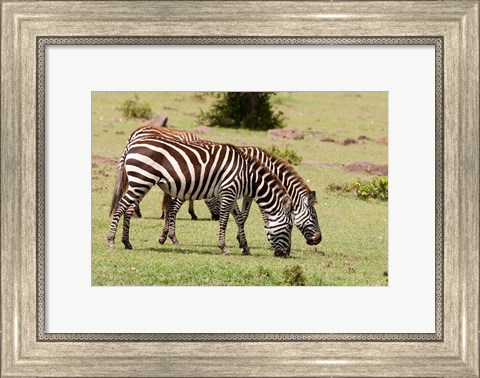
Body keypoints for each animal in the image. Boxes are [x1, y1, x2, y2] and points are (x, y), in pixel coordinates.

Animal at [109, 136, 294, 256]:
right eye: (290, 226)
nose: (286, 254)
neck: (247, 176)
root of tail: (132, 144)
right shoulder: (228, 191)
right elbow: (224, 220)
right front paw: (224, 247)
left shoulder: (232, 194)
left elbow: (240, 219)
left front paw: (245, 247)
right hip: (141, 180)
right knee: (120, 207)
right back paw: (111, 241)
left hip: (140, 182)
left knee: (128, 208)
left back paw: (127, 242)